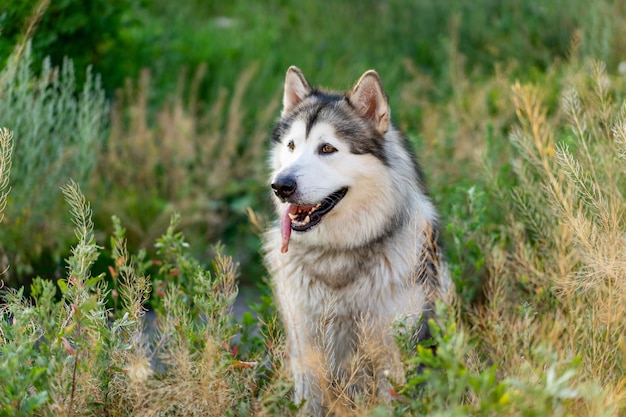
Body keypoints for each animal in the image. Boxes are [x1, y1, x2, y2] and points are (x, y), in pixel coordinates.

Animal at [264, 66, 448, 414]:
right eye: (292, 146)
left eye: (327, 148)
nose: (280, 185)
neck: (338, 252)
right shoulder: (305, 344)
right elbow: (310, 401)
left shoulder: (389, 347)